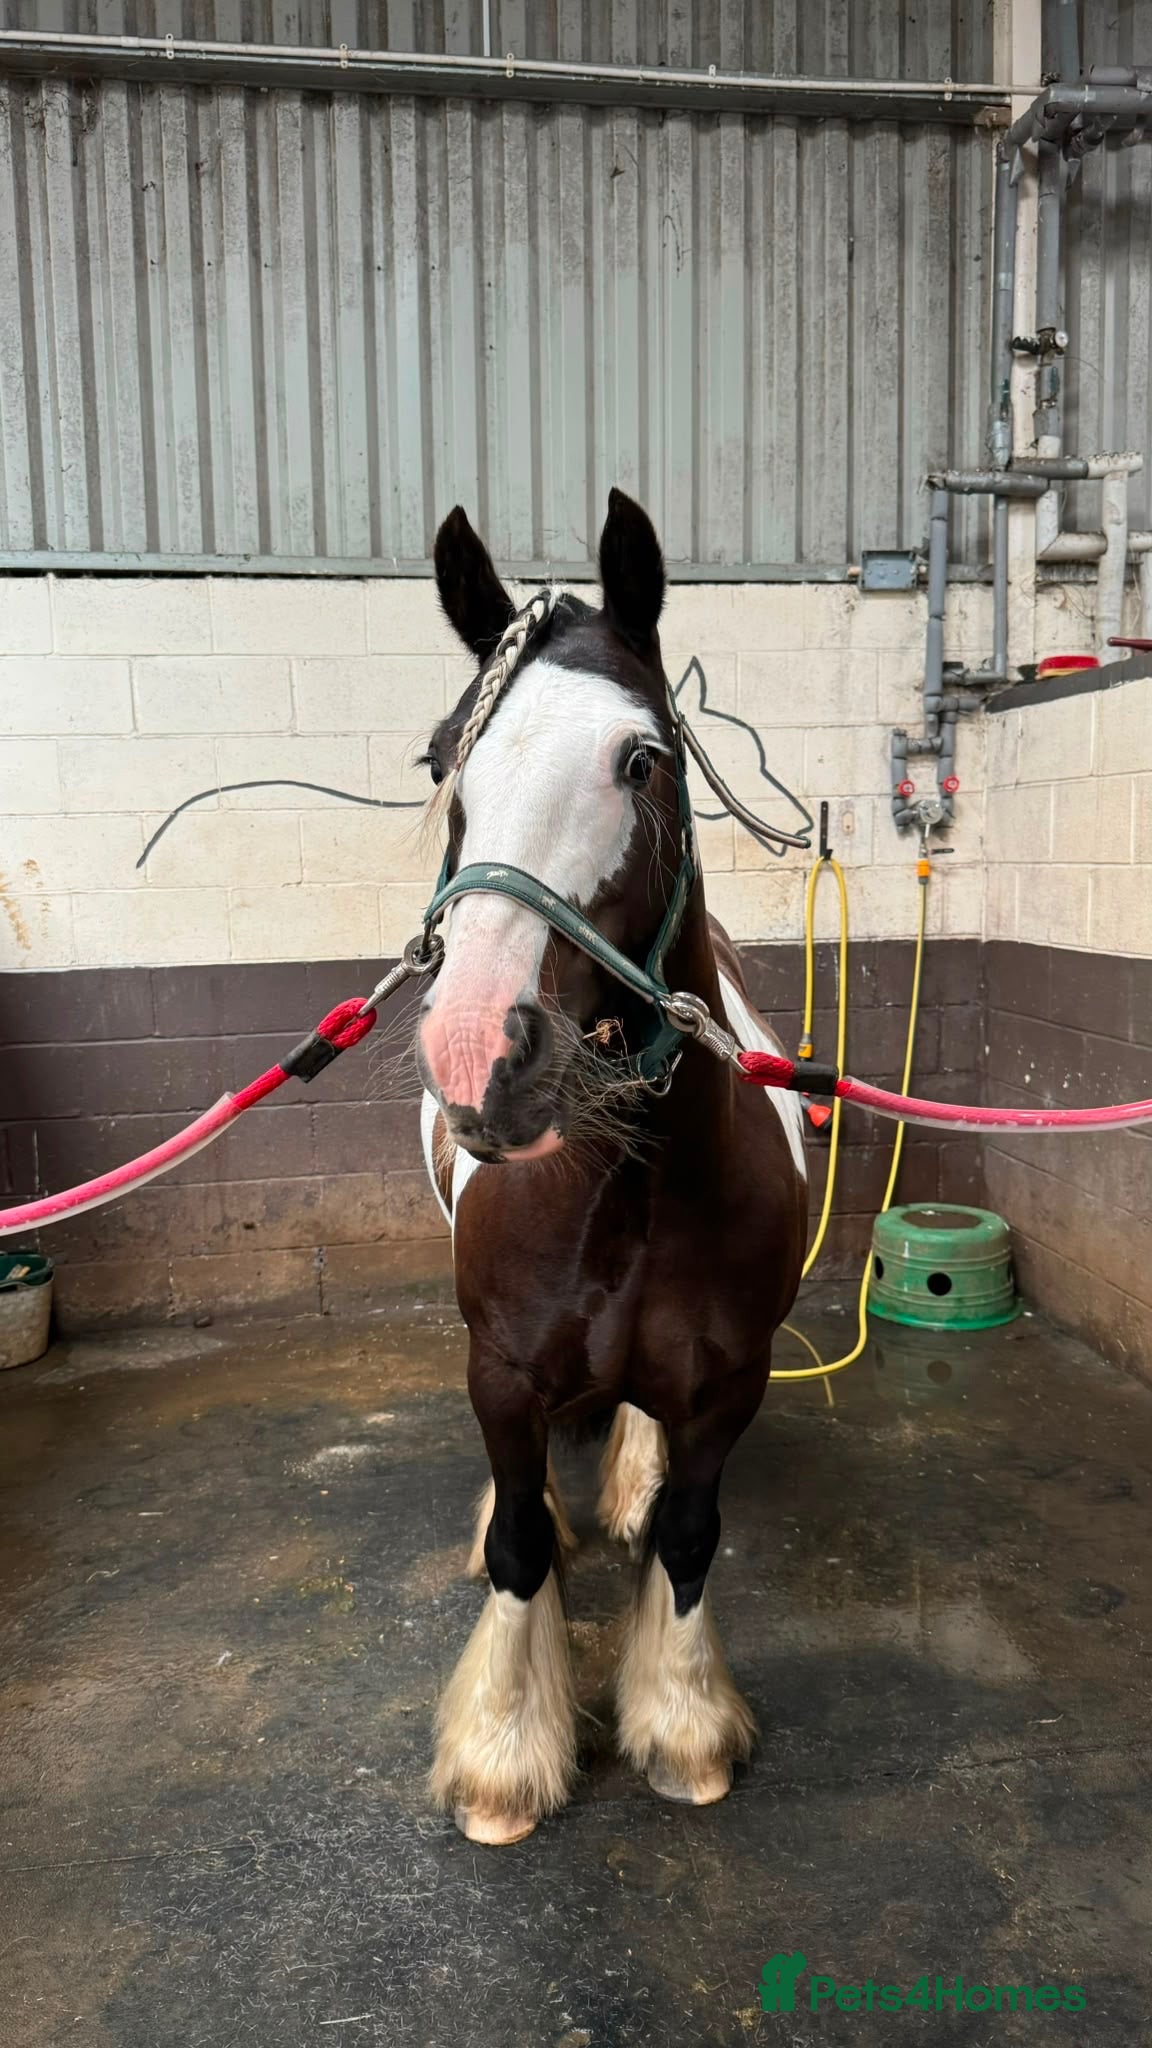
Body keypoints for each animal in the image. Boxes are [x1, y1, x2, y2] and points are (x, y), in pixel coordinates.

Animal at [414, 488, 808, 1845]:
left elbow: (689, 1536)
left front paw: (684, 1727)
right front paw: (503, 1757)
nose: (477, 1047)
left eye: (644, 758)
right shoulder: (498, 1367)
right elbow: (524, 1547)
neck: (626, 1192)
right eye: (444, 759)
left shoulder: (731, 1379)